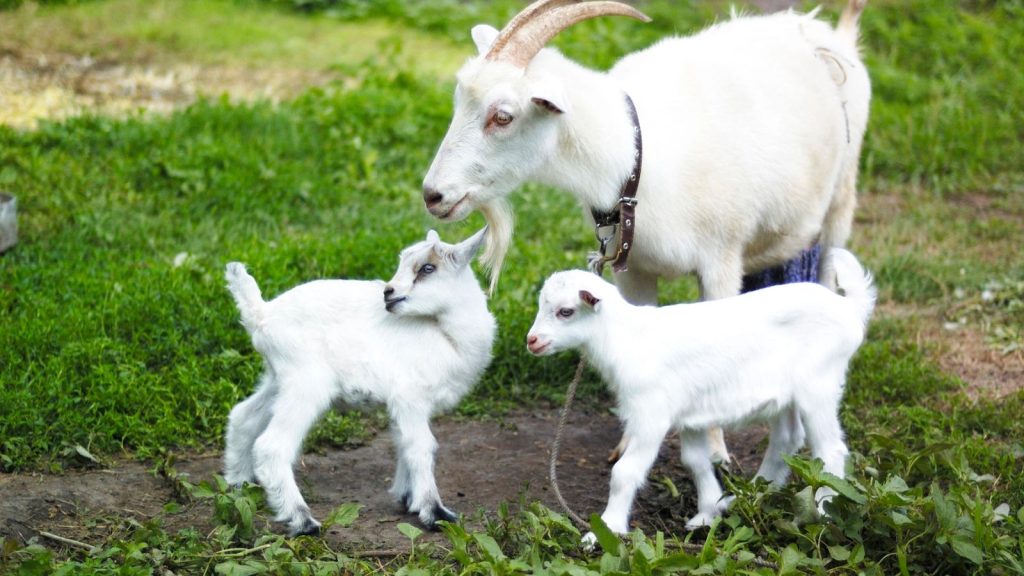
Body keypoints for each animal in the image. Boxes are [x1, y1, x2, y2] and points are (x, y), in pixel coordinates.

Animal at [222, 228, 495, 535]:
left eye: (428, 268)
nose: (388, 292)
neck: (446, 335)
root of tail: (262, 314)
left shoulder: (403, 405)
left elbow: (403, 443)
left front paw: (407, 498)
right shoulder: (410, 398)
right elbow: (421, 447)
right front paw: (433, 513)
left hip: (278, 379)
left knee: (242, 416)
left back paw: (238, 485)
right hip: (307, 383)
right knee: (271, 446)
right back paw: (303, 520)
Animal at [422, 0, 871, 463]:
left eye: (503, 116)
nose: (432, 195)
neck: (635, 159)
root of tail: (830, 34)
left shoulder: (721, 261)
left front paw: (715, 452)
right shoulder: (633, 267)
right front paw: (629, 443)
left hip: (841, 200)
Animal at [526, 248, 875, 542]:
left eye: (566, 311)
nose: (532, 341)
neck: (627, 338)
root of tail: (849, 308)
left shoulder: (651, 414)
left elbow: (624, 472)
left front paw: (604, 531)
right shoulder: (689, 415)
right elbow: (695, 462)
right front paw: (708, 513)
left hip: (818, 385)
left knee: (830, 451)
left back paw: (823, 516)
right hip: (786, 396)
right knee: (787, 439)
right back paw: (752, 495)